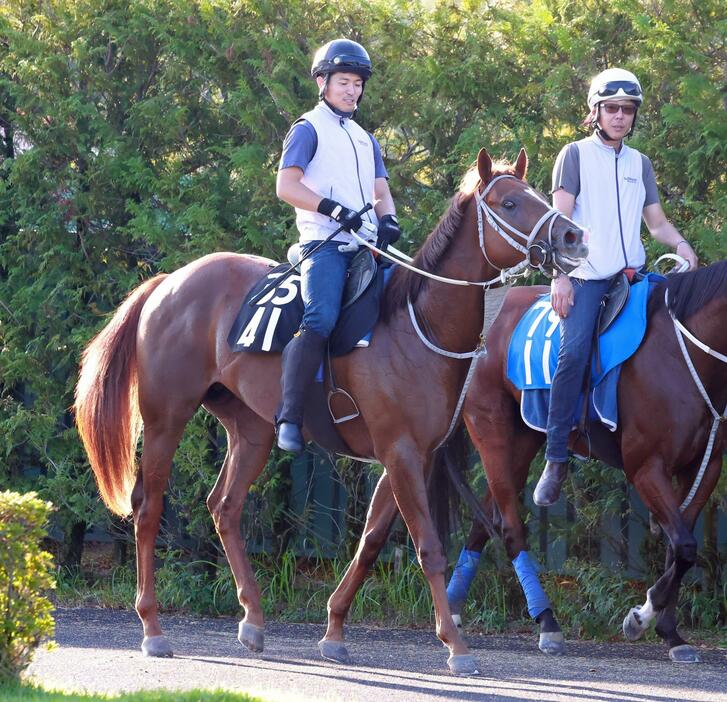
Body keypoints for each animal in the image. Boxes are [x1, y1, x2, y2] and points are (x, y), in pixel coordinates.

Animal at [72, 148, 584, 676]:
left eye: (538, 195)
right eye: (509, 203)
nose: (572, 235)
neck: (415, 324)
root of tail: (167, 282)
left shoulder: (409, 457)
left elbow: (371, 541)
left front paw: (335, 630)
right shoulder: (401, 454)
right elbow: (429, 548)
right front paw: (456, 647)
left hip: (251, 429)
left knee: (225, 506)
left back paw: (253, 619)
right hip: (165, 419)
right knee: (148, 509)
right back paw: (152, 628)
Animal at [332, 262, 727, 664]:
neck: (679, 354)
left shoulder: (703, 469)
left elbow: (679, 549)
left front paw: (671, 633)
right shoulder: (646, 467)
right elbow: (684, 547)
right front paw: (640, 617)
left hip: (524, 439)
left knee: (483, 521)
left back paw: (454, 611)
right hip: (490, 429)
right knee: (508, 526)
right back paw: (546, 622)